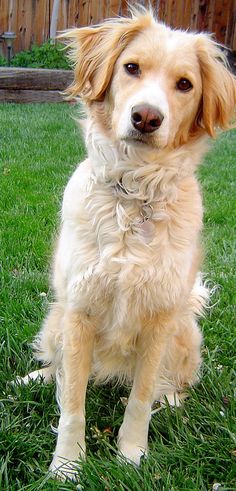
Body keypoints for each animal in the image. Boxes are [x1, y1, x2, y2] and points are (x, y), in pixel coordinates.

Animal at [21, 6, 235, 480]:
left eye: (185, 84)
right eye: (131, 68)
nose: (147, 117)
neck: (135, 192)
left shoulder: (159, 319)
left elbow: (139, 398)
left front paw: (132, 454)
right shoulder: (78, 312)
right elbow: (73, 404)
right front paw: (67, 465)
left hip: (185, 331)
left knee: (175, 382)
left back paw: (169, 399)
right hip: (55, 317)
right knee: (56, 364)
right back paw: (34, 378)